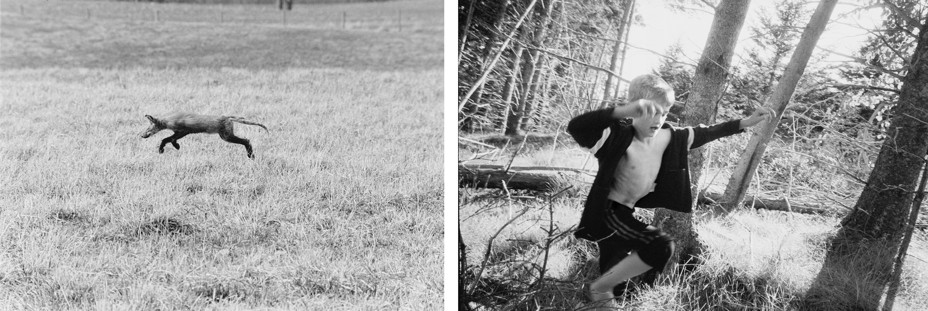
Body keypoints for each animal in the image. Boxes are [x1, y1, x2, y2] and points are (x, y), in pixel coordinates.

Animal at [141, 112, 270, 160]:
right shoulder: (178, 132)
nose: (141, 136)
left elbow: (166, 139)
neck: (171, 120)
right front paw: (175, 146)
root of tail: (227, 117)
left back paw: (251, 155)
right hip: (225, 136)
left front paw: (161, 149)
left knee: (247, 140)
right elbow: (171, 140)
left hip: (226, 137)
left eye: (148, 129)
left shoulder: (183, 131)